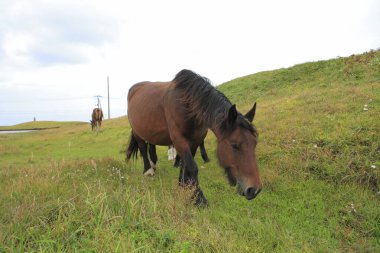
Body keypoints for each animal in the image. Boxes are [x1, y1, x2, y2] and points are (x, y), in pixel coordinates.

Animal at [127, 69, 262, 206]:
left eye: (255, 143)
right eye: (234, 145)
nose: (254, 190)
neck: (186, 105)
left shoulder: (195, 141)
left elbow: (185, 164)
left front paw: (183, 184)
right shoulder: (179, 140)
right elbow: (192, 167)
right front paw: (199, 199)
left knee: (151, 145)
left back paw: (154, 165)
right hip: (137, 132)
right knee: (143, 148)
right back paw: (148, 170)